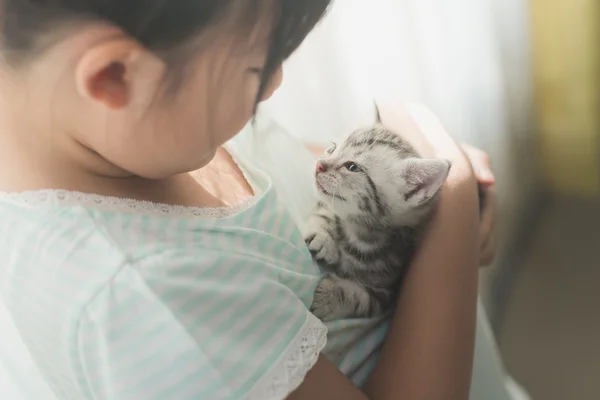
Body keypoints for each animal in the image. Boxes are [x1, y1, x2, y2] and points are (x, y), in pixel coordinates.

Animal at [304, 126, 450, 322]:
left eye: (352, 167)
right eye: (332, 149)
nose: (319, 165)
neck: (358, 234)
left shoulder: (386, 292)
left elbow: (361, 298)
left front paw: (328, 296)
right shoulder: (327, 206)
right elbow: (325, 213)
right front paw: (323, 239)